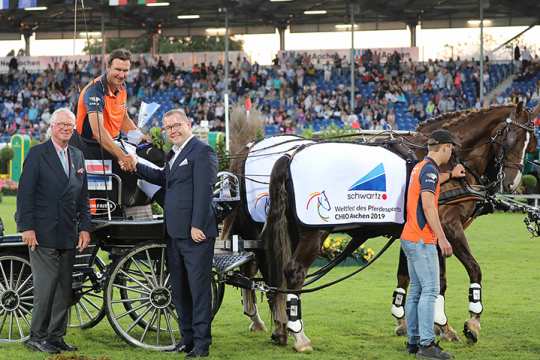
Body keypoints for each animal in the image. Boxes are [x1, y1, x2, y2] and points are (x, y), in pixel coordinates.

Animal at [254, 102, 540, 352]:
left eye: (530, 144)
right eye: (511, 138)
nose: (513, 184)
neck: (445, 164)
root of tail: (289, 156)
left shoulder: (415, 232)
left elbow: (412, 276)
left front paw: (410, 320)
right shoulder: (447, 226)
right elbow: (467, 271)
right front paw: (468, 322)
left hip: (293, 230)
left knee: (278, 275)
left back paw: (281, 328)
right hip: (315, 232)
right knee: (294, 273)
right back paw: (299, 335)